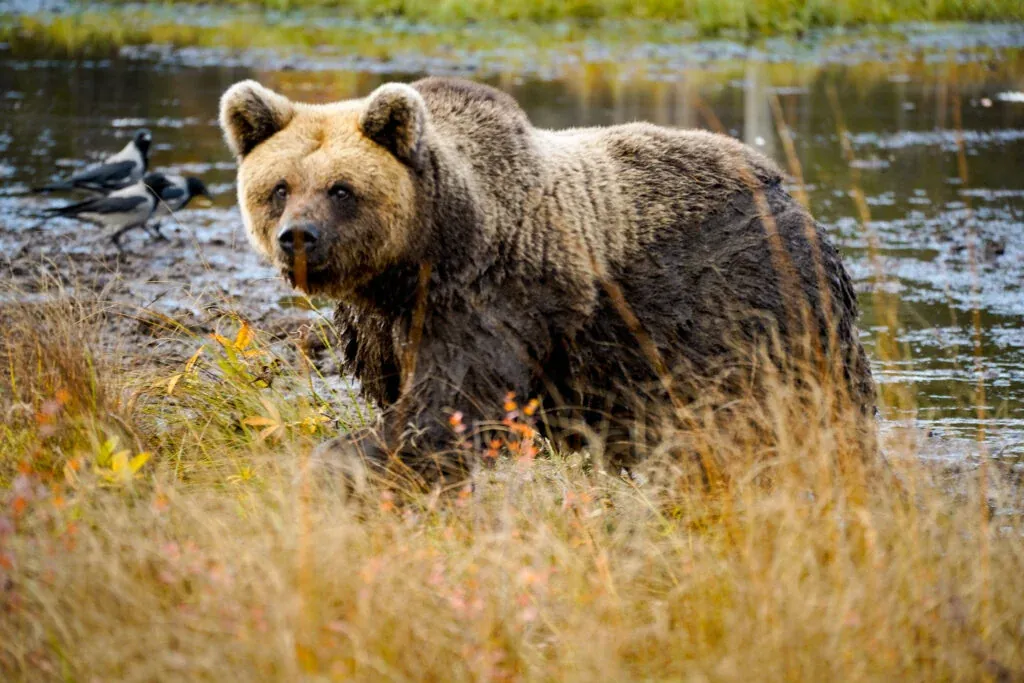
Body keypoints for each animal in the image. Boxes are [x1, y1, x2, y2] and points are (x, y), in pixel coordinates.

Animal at [219, 76, 875, 488]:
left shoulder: (495, 293)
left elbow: (451, 404)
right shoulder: (383, 321)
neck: (424, 253)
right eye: (279, 187)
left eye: (341, 189)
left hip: (751, 303)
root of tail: (788, 194)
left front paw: (347, 460)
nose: (299, 237)